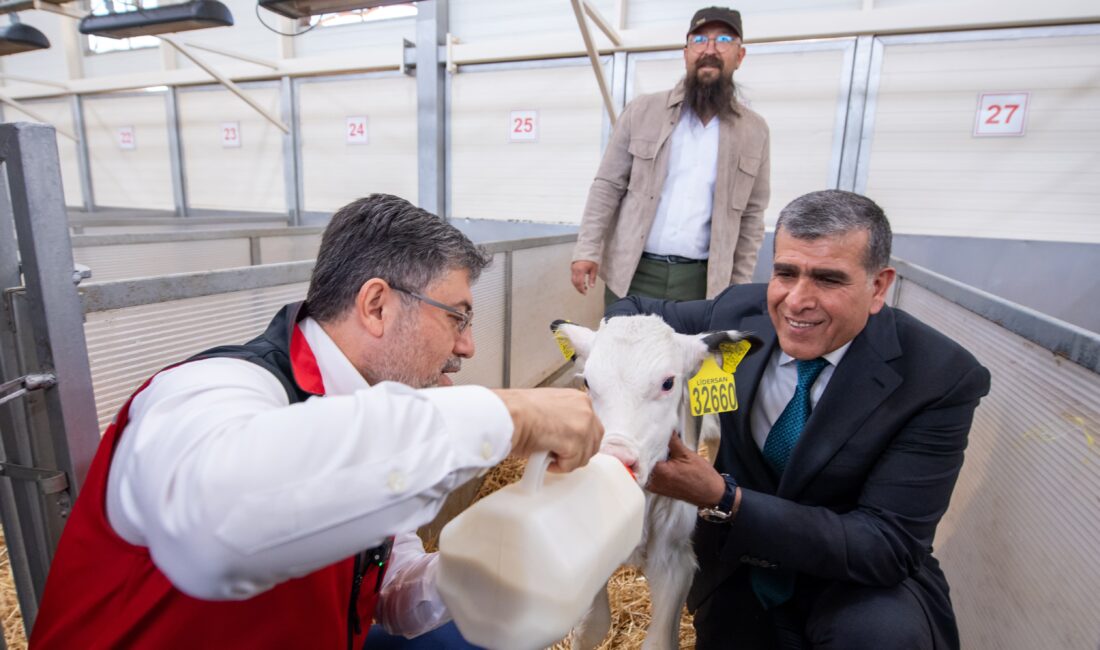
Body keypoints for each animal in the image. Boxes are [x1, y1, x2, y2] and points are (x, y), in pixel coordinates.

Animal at [554, 318, 761, 650]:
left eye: (667, 383)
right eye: (587, 383)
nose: (616, 457)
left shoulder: (676, 561)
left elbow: (659, 641)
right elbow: (590, 626)